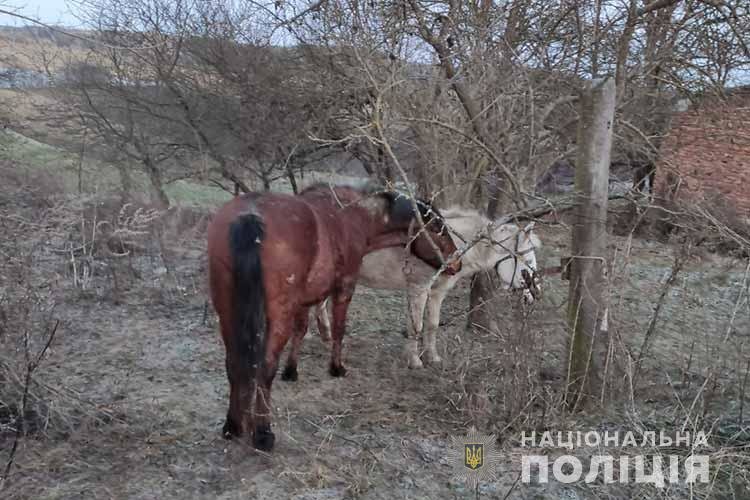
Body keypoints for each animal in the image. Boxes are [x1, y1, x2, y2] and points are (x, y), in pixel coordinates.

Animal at [209, 182, 462, 452]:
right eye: (436, 228)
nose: (457, 263)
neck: (351, 217)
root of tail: (251, 215)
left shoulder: (305, 300)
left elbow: (302, 329)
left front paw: (292, 370)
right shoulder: (344, 288)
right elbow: (339, 330)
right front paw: (336, 367)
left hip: (228, 313)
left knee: (234, 362)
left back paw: (233, 426)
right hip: (277, 316)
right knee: (265, 368)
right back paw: (263, 433)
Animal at [312, 206, 540, 368]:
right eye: (528, 260)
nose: (534, 295)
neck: (448, 244)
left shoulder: (437, 292)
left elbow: (432, 324)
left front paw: (432, 358)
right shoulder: (419, 288)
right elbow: (417, 325)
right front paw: (414, 361)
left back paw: (326, 336)